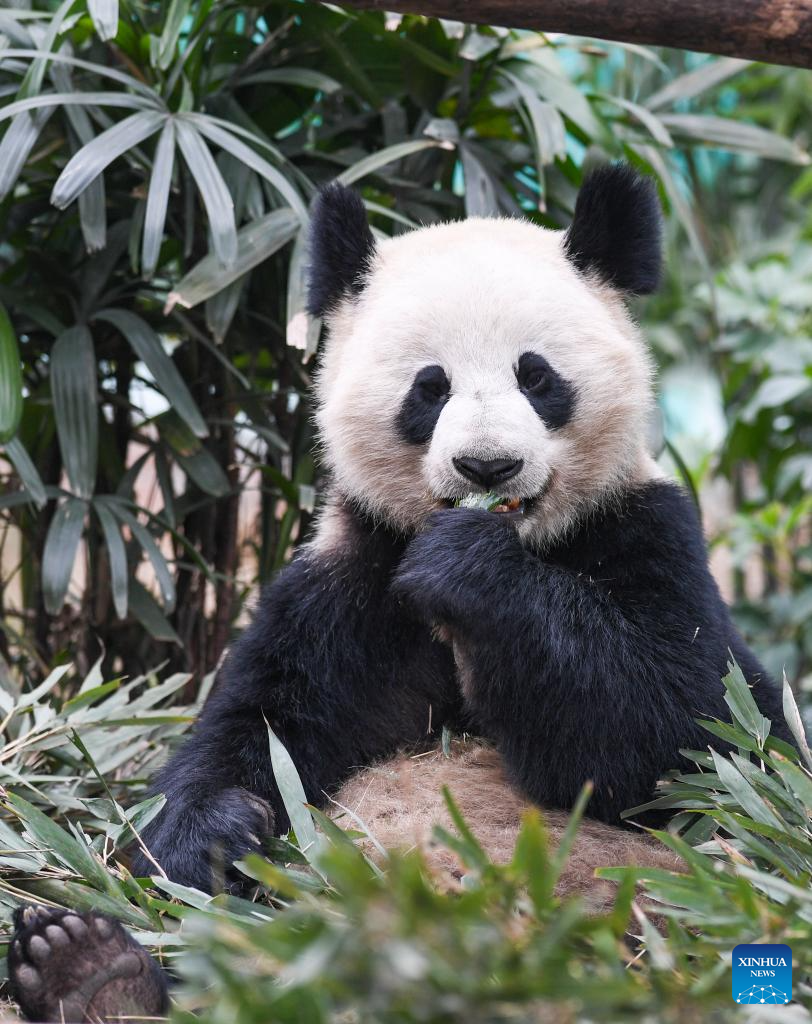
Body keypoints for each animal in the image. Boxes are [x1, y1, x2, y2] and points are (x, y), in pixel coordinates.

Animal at [7, 163, 790, 1024]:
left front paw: (469, 573)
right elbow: (249, 733)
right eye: (430, 387)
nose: (488, 466)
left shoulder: (649, 534)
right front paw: (220, 828)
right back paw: (89, 969)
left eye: (537, 377)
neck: (525, 540)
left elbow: (687, 736)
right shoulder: (347, 586)